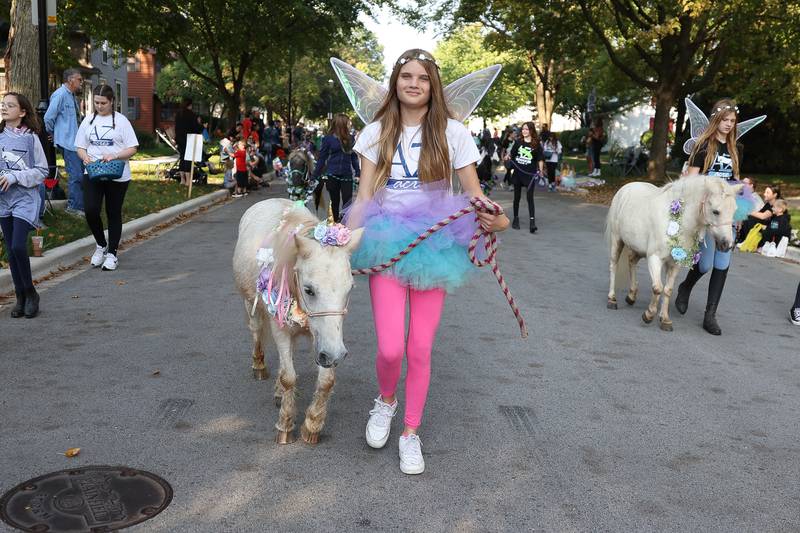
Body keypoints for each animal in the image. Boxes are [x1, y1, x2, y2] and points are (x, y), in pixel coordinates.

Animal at [234, 197, 362, 442]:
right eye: (309, 289)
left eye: (350, 288)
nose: (336, 355)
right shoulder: (282, 329)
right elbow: (289, 377)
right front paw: (285, 425)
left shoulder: (323, 339)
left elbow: (325, 380)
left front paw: (312, 425)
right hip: (250, 305)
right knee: (256, 332)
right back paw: (259, 366)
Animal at [608, 177, 740, 330]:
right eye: (716, 211)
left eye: (734, 211)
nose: (727, 245)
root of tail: (626, 187)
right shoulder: (654, 258)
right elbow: (658, 288)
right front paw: (649, 315)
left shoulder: (675, 263)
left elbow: (668, 290)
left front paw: (665, 319)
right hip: (616, 239)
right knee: (614, 265)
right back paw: (611, 299)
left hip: (638, 248)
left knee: (631, 261)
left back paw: (631, 296)